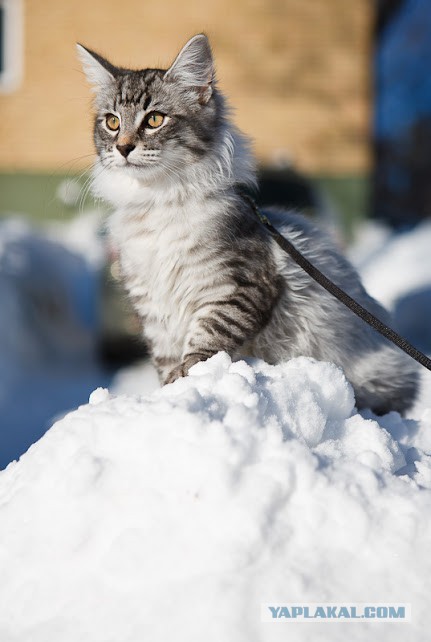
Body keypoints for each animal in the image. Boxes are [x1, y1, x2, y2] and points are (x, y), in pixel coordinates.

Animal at [77, 35, 418, 412]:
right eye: (112, 122)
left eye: (154, 119)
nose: (123, 148)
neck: (159, 203)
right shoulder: (152, 305)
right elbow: (165, 359)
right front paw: (169, 389)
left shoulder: (238, 286)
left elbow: (207, 339)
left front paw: (190, 377)